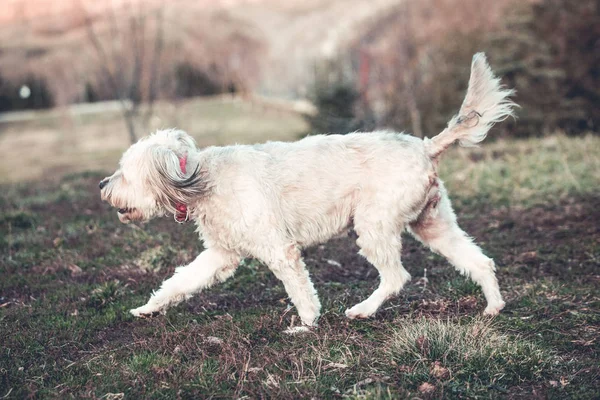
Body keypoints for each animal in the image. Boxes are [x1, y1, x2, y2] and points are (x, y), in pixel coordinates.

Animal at [99, 53, 516, 326]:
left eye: (124, 172)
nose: (102, 184)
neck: (201, 180)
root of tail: (425, 146)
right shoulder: (220, 255)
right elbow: (179, 282)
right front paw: (149, 308)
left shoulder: (278, 250)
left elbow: (299, 289)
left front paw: (307, 323)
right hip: (434, 226)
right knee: (480, 261)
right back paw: (493, 306)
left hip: (373, 226)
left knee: (397, 278)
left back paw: (363, 309)